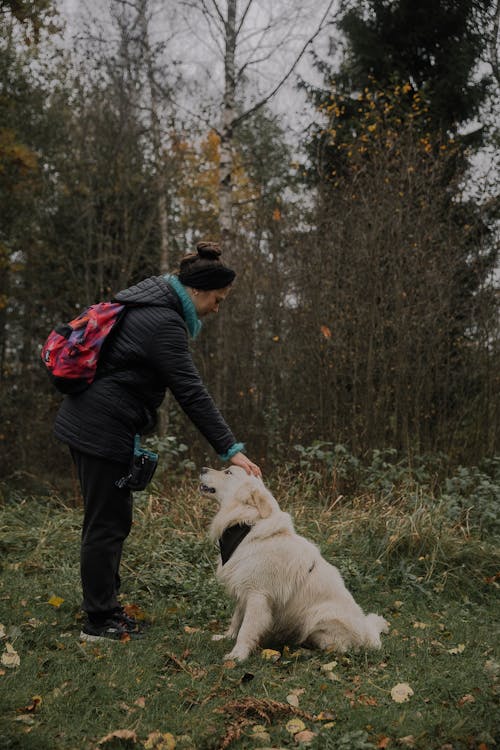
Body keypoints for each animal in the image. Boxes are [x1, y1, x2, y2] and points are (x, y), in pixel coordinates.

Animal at [201, 468, 388, 668]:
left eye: (228, 472)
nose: (203, 469)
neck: (246, 526)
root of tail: (368, 635)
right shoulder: (243, 590)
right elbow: (236, 620)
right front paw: (227, 637)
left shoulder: (257, 595)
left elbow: (246, 629)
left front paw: (237, 655)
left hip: (319, 618)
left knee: (334, 649)